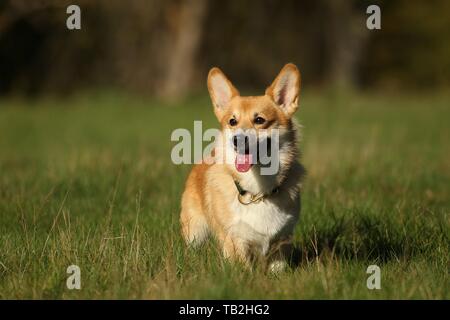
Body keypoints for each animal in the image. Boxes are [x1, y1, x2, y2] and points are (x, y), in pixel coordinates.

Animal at [181, 63, 304, 272]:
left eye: (260, 120)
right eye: (232, 121)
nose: (237, 139)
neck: (258, 191)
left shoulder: (282, 240)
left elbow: (277, 269)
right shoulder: (235, 239)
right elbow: (243, 268)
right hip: (195, 231)